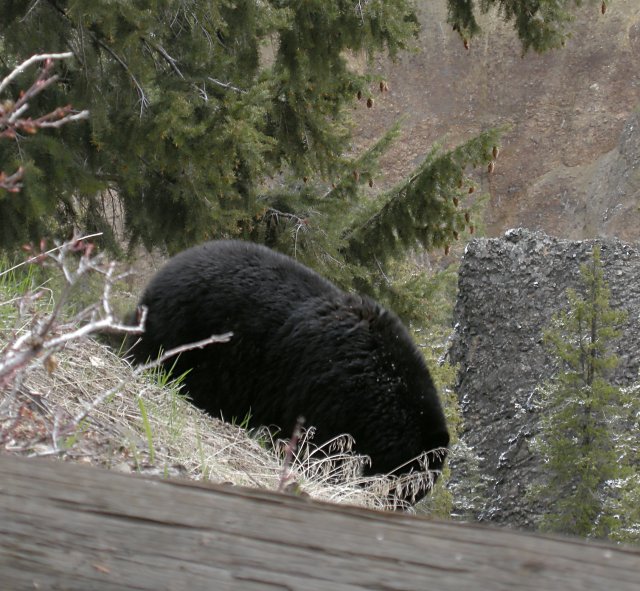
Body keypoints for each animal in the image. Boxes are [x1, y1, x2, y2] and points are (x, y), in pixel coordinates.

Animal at [130, 238, 450, 502]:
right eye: (406, 490)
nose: (390, 505)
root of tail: (166, 270)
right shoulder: (329, 394)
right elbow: (316, 447)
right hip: (187, 332)